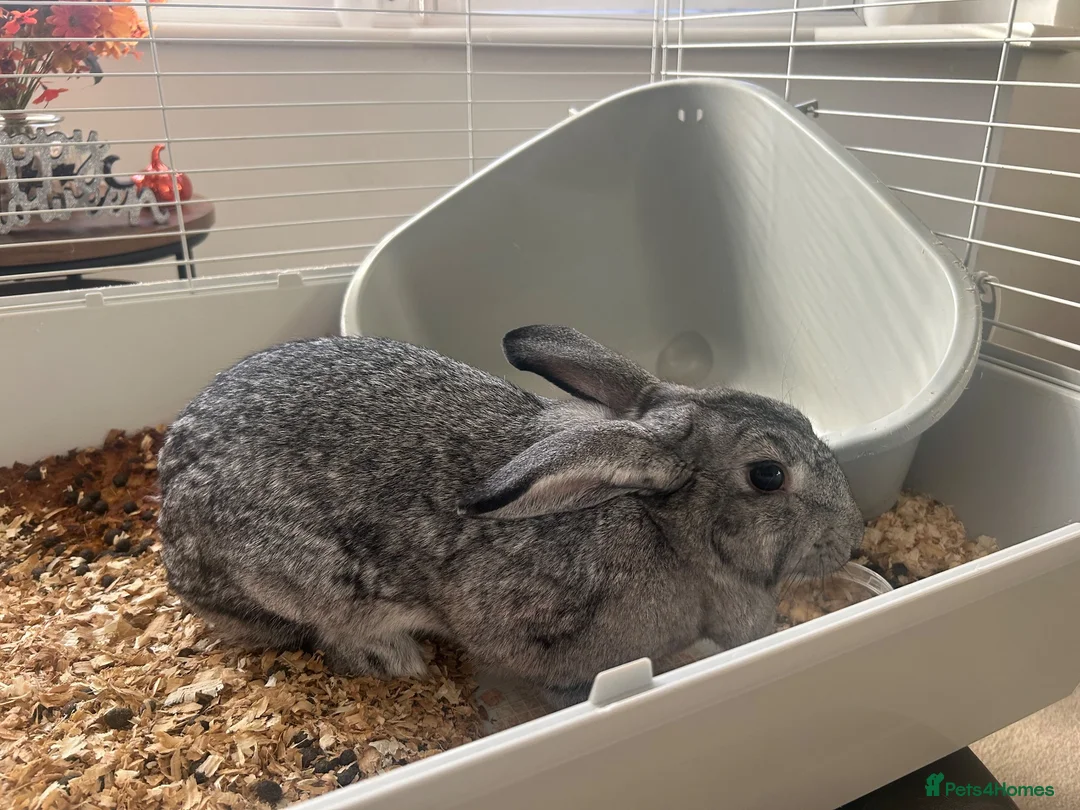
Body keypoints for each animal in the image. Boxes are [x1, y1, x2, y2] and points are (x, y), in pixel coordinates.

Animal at [157, 325, 865, 709]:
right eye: (767, 475)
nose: (852, 538)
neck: (667, 528)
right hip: (300, 581)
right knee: (331, 631)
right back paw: (397, 659)